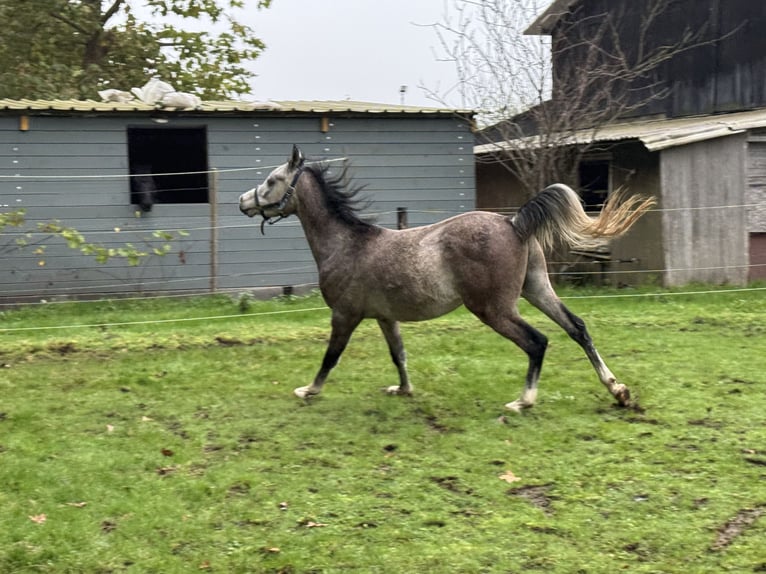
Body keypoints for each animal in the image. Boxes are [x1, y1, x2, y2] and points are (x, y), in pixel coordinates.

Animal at [238, 146, 656, 412]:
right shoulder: (385, 317)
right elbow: (399, 354)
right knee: (577, 328)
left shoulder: (345, 315)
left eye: (272, 180)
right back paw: (618, 390)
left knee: (537, 342)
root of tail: (513, 223)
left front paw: (308, 390)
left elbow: (330, 357)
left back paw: (523, 401)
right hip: (536, 290)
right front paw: (403, 389)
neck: (347, 243)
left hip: (494, 309)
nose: (243, 202)